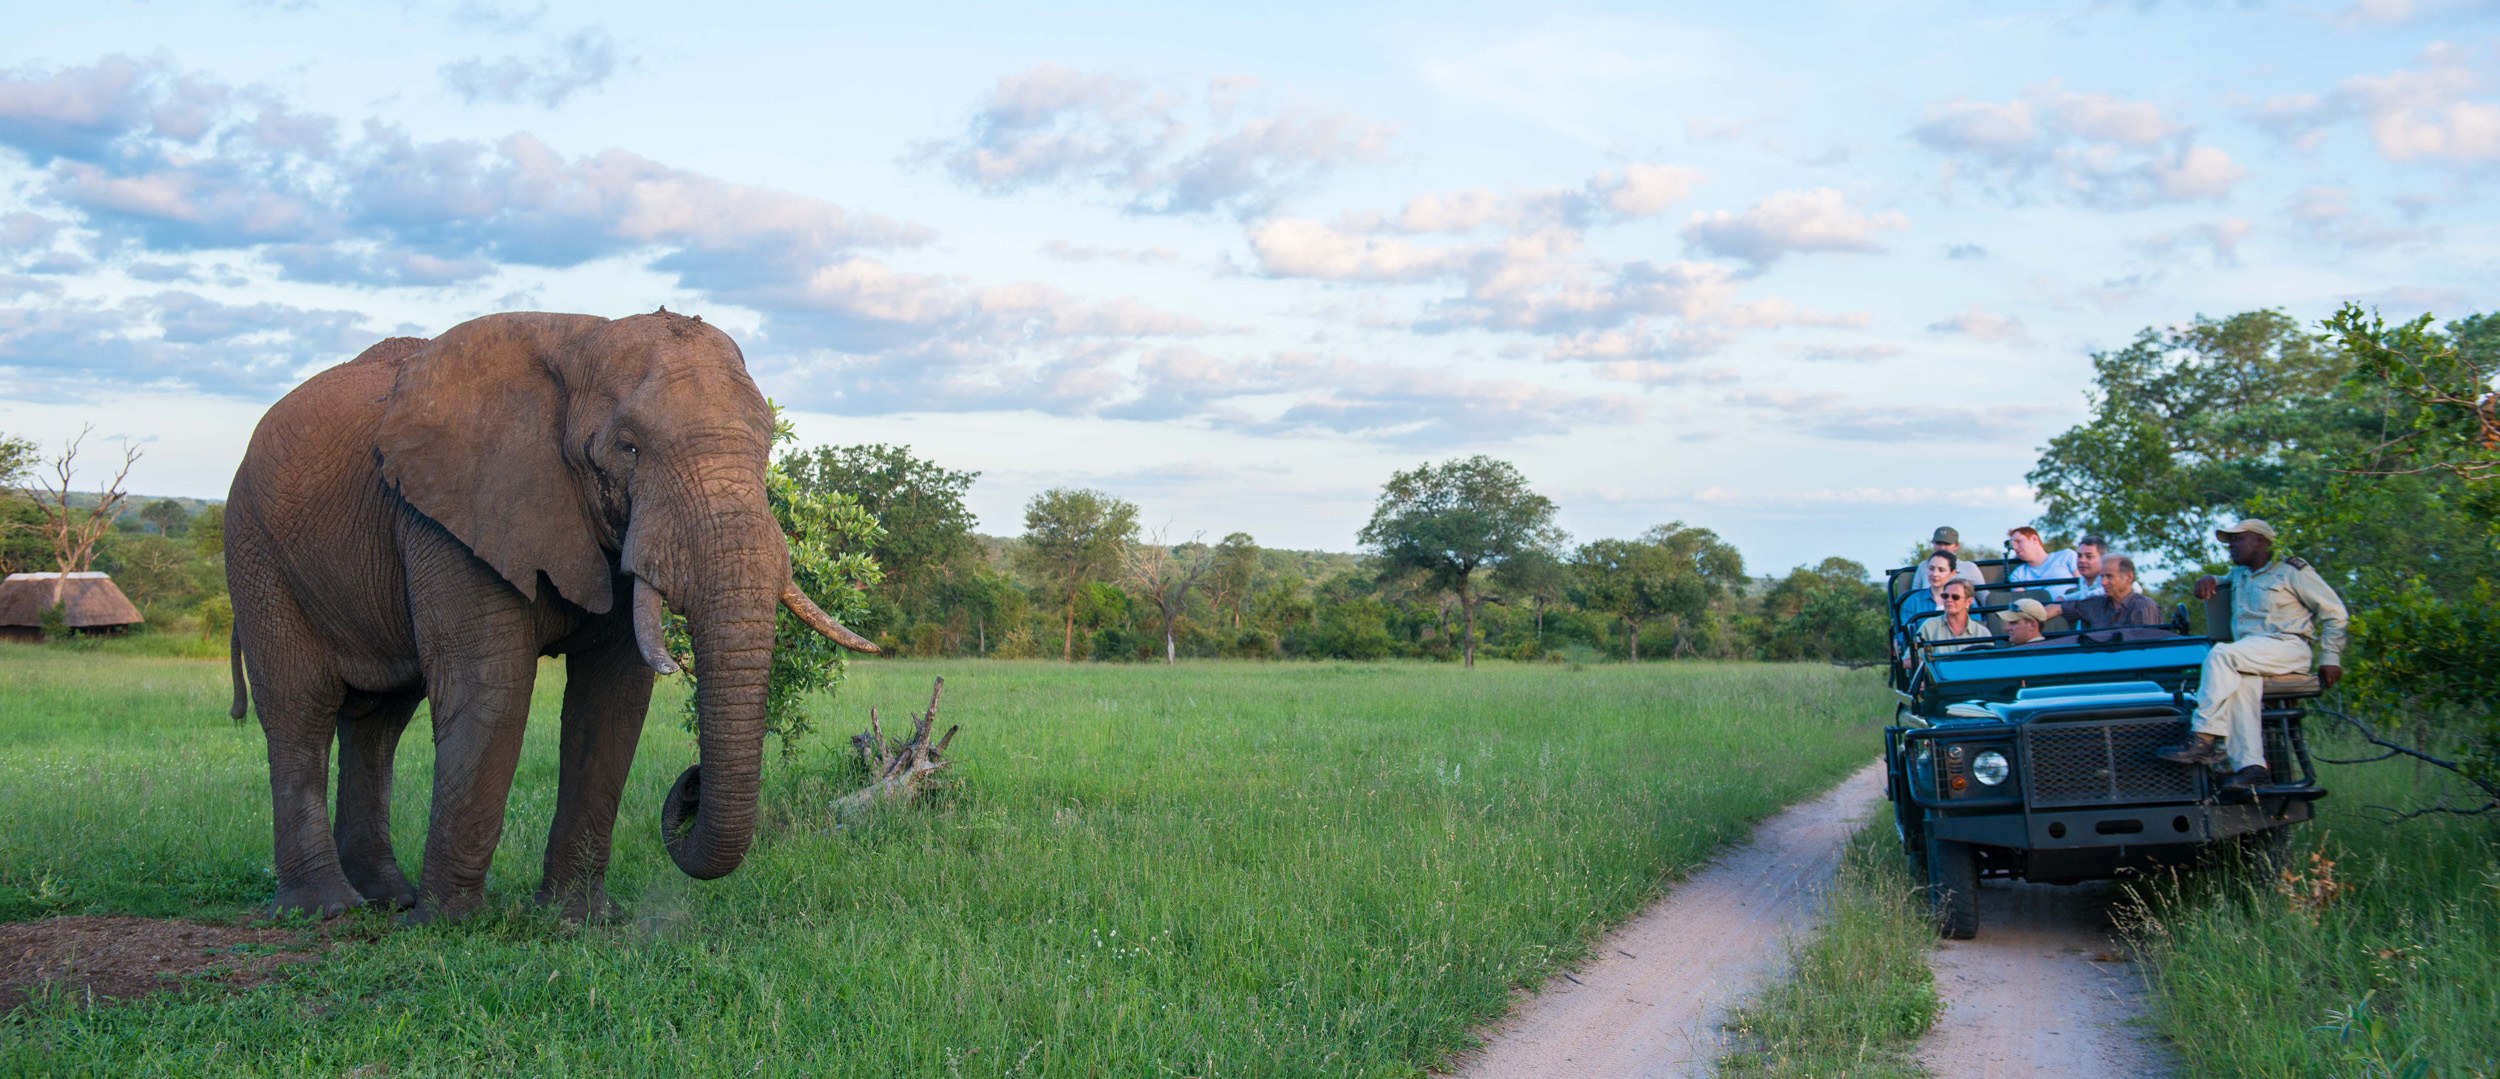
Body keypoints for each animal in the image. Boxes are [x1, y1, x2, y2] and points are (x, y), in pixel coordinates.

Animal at [224, 309, 876, 924]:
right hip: (256, 552)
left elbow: (611, 699)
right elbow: (491, 687)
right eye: (628, 448)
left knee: (378, 723)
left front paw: (576, 921)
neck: (582, 341)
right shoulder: (457, 512)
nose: (690, 783)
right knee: (300, 709)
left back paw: (388, 900)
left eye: (767, 447)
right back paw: (326, 909)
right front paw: (451, 926)